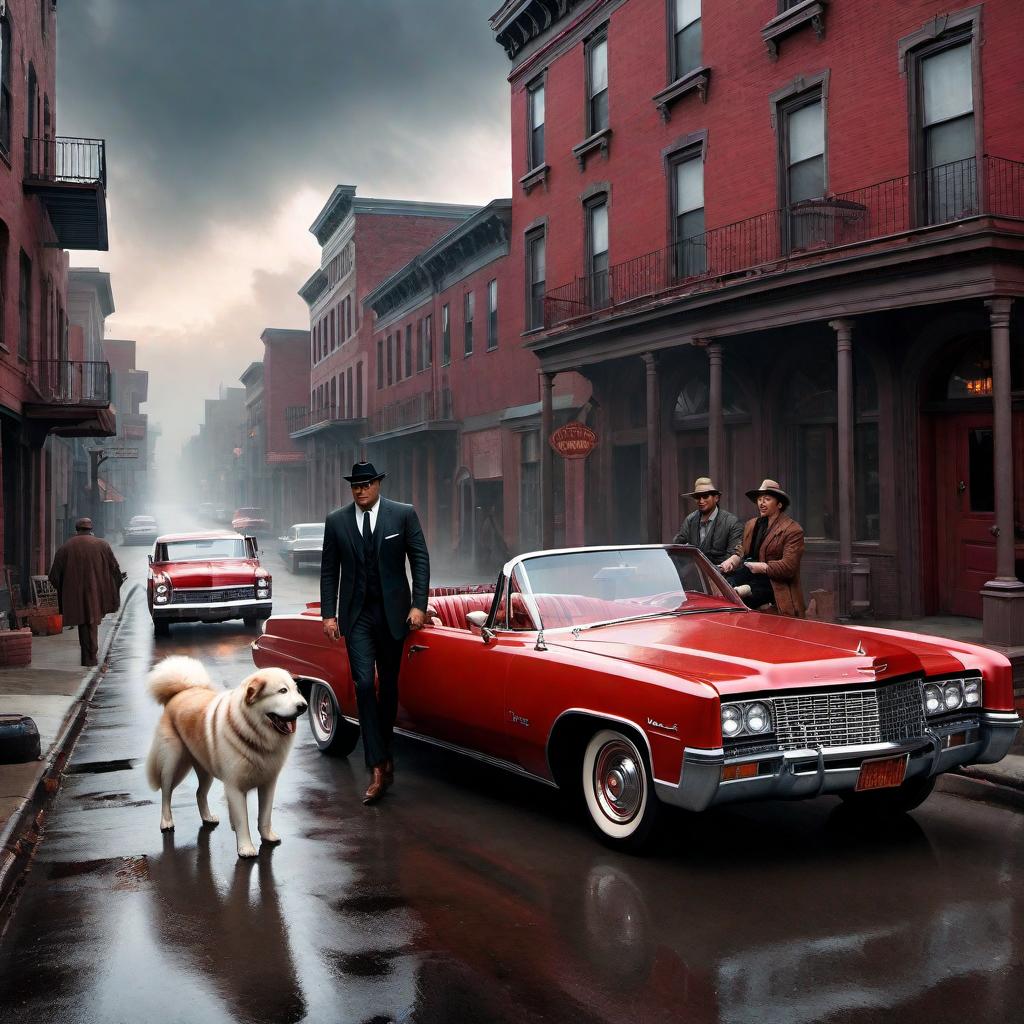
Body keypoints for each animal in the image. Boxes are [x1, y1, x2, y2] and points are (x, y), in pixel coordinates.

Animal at [144, 655, 305, 856]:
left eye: (296, 690)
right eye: (282, 691)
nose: (304, 706)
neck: (253, 733)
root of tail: (181, 692)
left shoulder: (268, 783)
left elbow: (265, 816)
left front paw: (267, 836)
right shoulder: (234, 787)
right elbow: (243, 820)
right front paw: (246, 848)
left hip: (205, 770)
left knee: (199, 793)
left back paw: (207, 817)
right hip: (171, 764)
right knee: (166, 794)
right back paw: (166, 822)